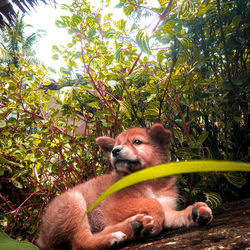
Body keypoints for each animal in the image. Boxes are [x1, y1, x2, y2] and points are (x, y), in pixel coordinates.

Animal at [36, 124, 213, 249]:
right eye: (116, 145)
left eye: (137, 142)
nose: (114, 150)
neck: (149, 183)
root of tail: (41, 236)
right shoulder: (114, 206)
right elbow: (153, 204)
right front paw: (156, 222)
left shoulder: (166, 206)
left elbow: (171, 214)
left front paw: (194, 212)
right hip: (74, 202)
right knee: (80, 242)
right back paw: (115, 236)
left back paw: (134, 226)